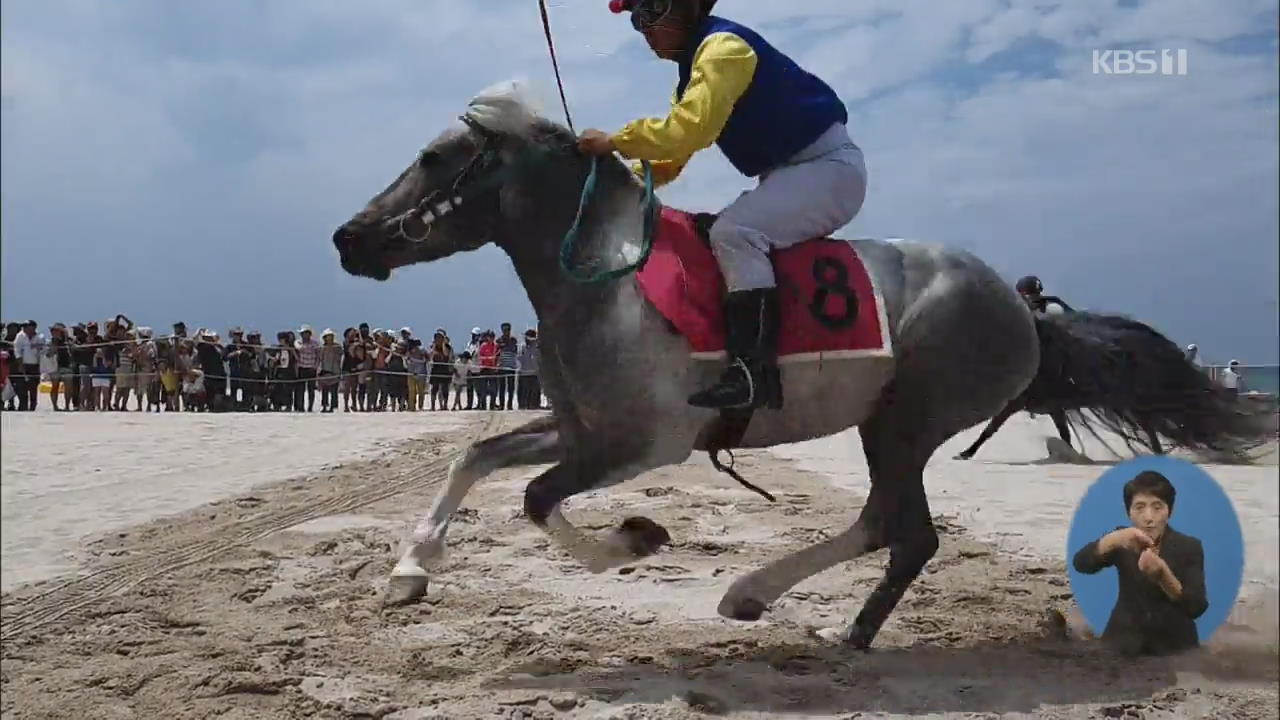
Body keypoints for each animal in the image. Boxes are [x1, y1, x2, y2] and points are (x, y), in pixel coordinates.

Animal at [330, 81, 1269, 648]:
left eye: (433, 158)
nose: (347, 238)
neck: (604, 276)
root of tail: (1018, 304)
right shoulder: (582, 429)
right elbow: (477, 454)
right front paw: (409, 571)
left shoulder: (643, 444)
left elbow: (534, 498)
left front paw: (636, 539)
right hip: (889, 424)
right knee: (888, 524)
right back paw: (776, 604)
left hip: (908, 420)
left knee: (904, 530)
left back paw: (821, 622)